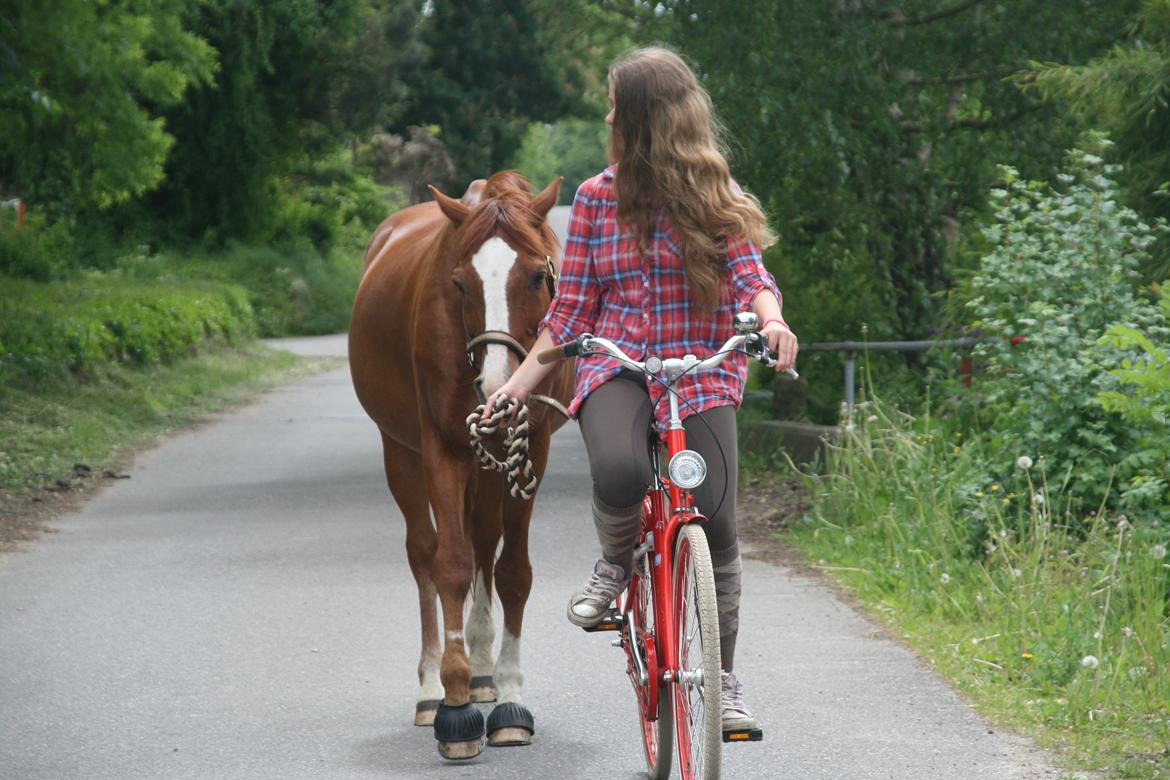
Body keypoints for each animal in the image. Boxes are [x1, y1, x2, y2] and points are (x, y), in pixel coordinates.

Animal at [348, 171, 573, 762]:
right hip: (400, 451)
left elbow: (512, 571)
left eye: (538, 275)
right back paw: (433, 686)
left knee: (484, 544)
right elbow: (448, 564)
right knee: (425, 552)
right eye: (459, 283)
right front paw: (454, 704)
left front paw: (510, 696)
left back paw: (485, 670)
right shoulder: (442, 448)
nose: (497, 387)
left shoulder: (532, 447)